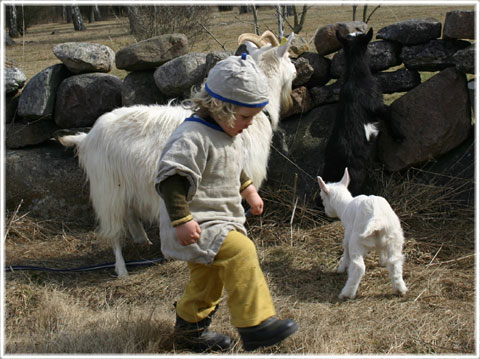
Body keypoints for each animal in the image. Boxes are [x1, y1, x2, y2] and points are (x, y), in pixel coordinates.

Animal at [58, 33, 294, 278]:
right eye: (288, 58)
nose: (296, 70)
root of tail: (86, 137)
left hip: (124, 184)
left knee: (130, 213)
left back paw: (143, 240)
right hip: (107, 188)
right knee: (113, 229)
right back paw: (122, 269)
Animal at [316, 169, 406, 300]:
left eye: (322, 198)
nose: (326, 213)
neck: (345, 206)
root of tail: (376, 219)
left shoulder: (348, 233)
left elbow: (345, 250)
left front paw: (341, 268)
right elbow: (382, 252)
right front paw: (382, 261)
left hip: (357, 240)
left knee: (358, 267)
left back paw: (347, 293)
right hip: (394, 238)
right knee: (395, 262)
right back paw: (400, 289)